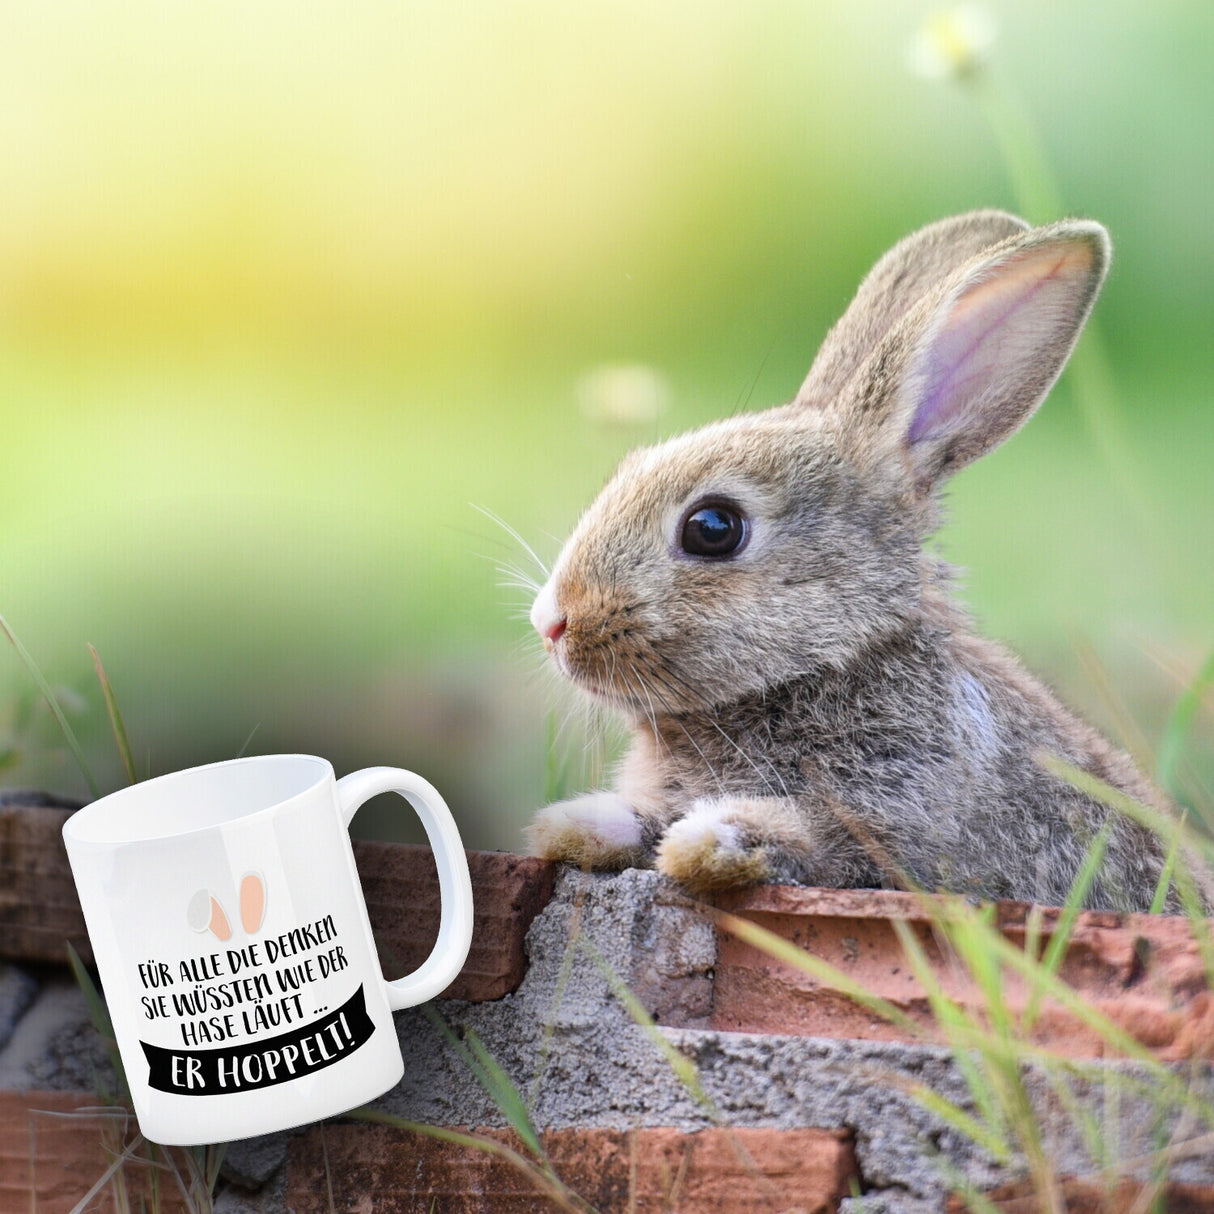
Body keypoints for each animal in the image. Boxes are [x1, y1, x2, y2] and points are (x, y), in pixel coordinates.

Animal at [524, 209, 1180, 912]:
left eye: (713, 528)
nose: (552, 622)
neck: (829, 663)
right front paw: (575, 824)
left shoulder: (898, 824)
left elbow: (814, 841)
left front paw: (711, 841)